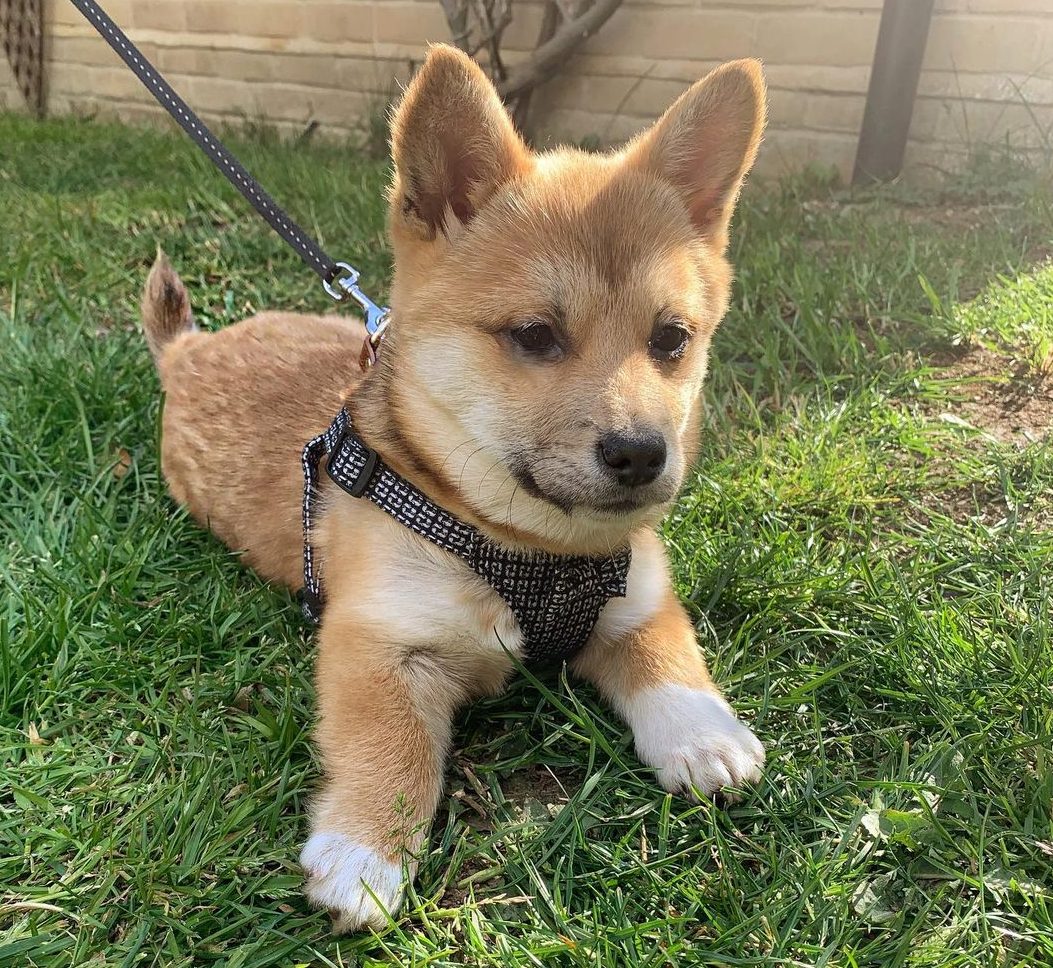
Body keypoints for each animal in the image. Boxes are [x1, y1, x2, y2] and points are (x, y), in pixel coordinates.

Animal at [140, 43, 766, 931]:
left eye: (671, 339)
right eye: (534, 335)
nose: (642, 455)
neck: (531, 546)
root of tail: (187, 352)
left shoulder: (640, 597)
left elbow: (668, 654)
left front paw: (701, 732)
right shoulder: (376, 641)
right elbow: (390, 745)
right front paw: (364, 852)